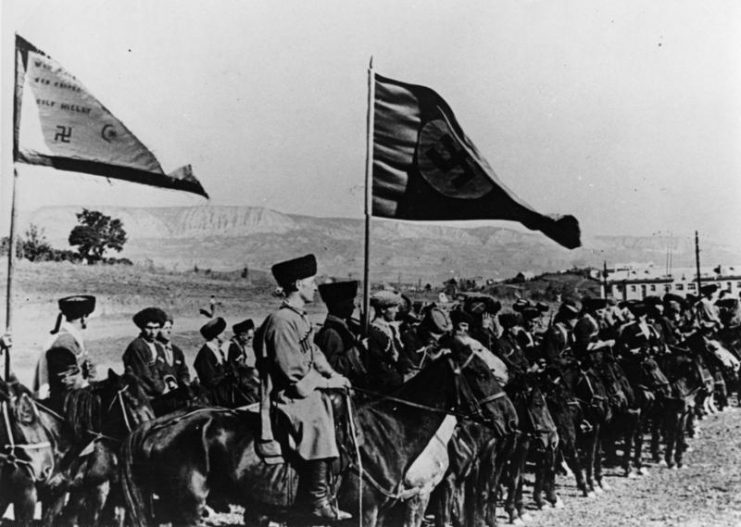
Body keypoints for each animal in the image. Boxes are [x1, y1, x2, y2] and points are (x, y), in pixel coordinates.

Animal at [120, 346, 508, 527]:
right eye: (479, 373)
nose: (508, 417)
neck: (388, 432)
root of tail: (159, 425)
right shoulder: (369, 513)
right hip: (188, 507)